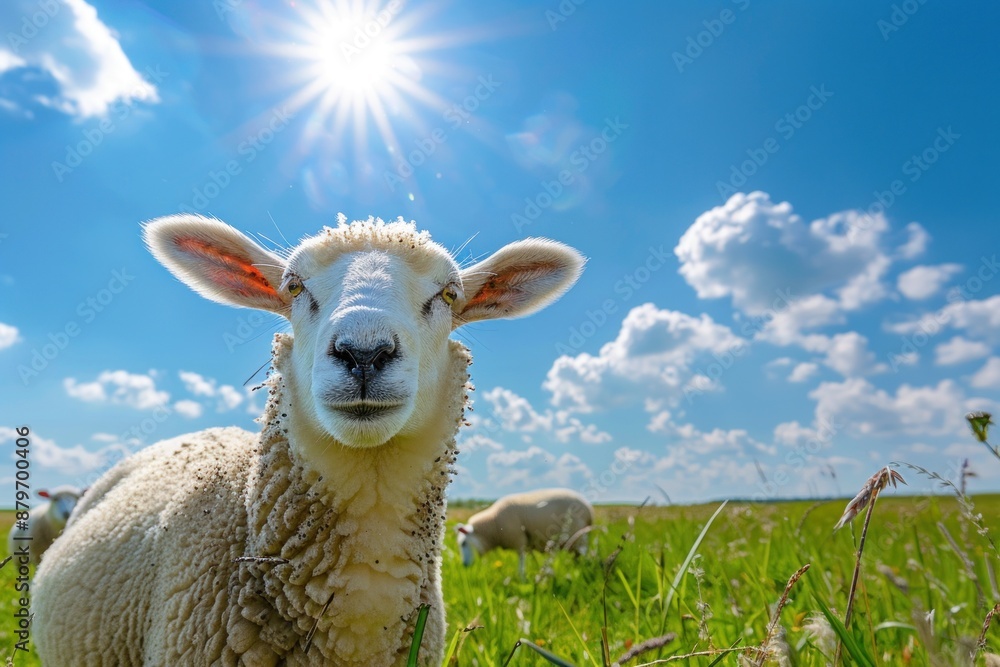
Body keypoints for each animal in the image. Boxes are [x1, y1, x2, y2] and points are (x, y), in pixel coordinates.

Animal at [455, 488, 594, 577]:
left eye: (463, 543)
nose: (464, 565)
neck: (493, 524)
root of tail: (589, 509)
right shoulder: (527, 543)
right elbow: (532, 558)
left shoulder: (518, 541)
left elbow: (521, 565)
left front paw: (522, 579)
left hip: (578, 534)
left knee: (583, 553)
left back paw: (583, 568)